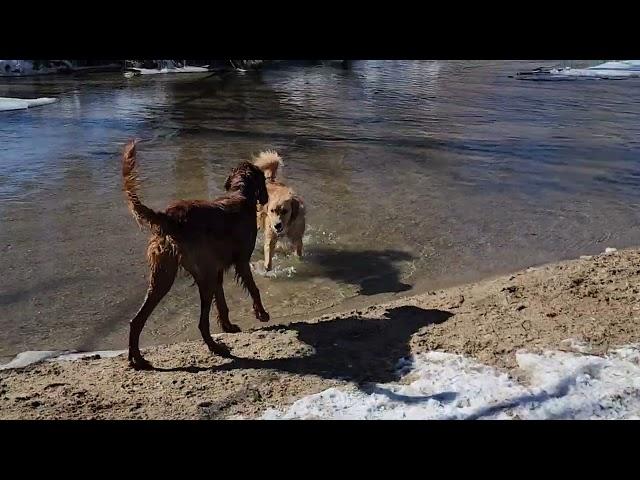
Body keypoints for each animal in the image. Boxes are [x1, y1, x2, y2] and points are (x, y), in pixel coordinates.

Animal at [121, 141, 268, 370]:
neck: (241, 195)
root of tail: (170, 218)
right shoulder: (242, 261)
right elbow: (254, 289)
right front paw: (261, 313)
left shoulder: (217, 270)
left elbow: (222, 302)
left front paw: (228, 326)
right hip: (201, 276)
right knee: (201, 323)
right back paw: (216, 348)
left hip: (163, 276)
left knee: (136, 320)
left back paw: (137, 359)